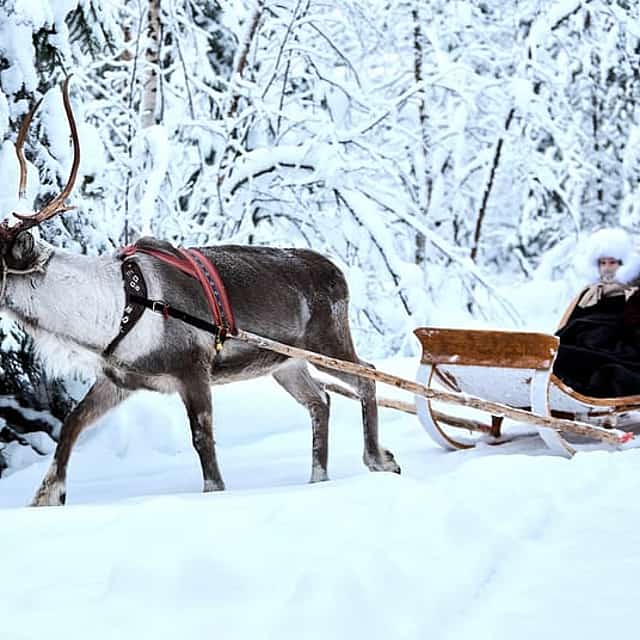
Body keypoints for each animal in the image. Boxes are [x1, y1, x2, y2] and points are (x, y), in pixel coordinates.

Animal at [0, 78, 400, 506]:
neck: (113, 311)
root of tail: (338, 272)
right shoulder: (119, 380)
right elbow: (72, 424)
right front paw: (46, 496)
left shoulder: (193, 370)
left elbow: (202, 439)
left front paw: (214, 494)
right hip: (286, 363)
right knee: (320, 401)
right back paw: (318, 478)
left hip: (327, 342)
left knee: (367, 375)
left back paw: (380, 459)